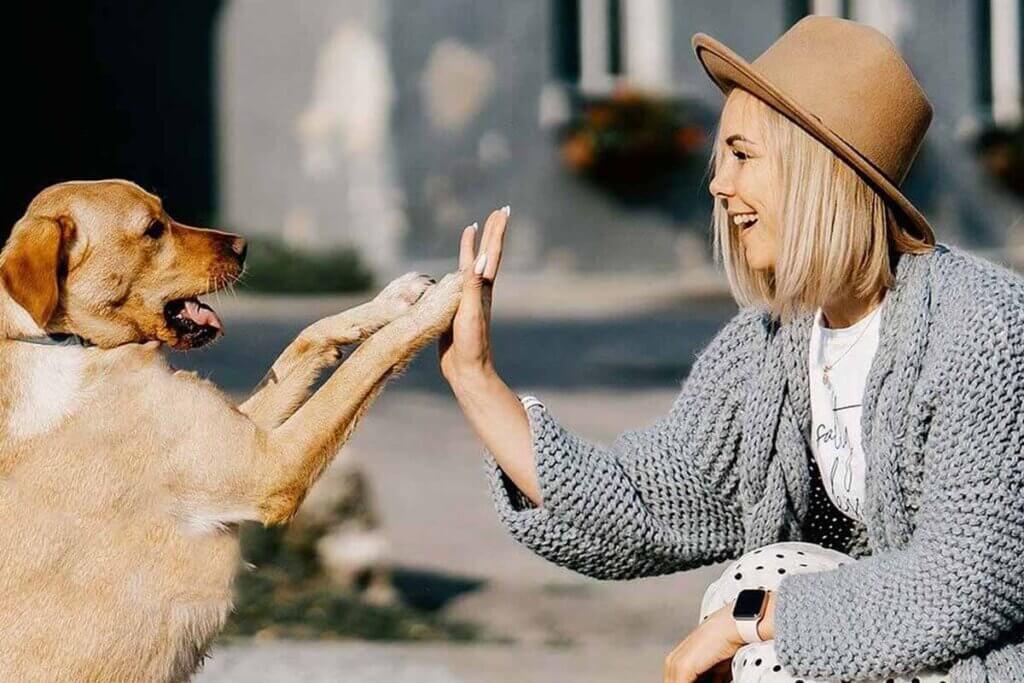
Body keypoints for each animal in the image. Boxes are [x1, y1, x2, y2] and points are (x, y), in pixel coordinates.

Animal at [0, 179, 460, 679]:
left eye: (165, 213)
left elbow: (310, 337)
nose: (244, 246)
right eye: (153, 229)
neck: (68, 343)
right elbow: (369, 359)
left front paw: (395, 299)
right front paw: (451, 295)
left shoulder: (252, 431)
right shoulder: (271, 466)